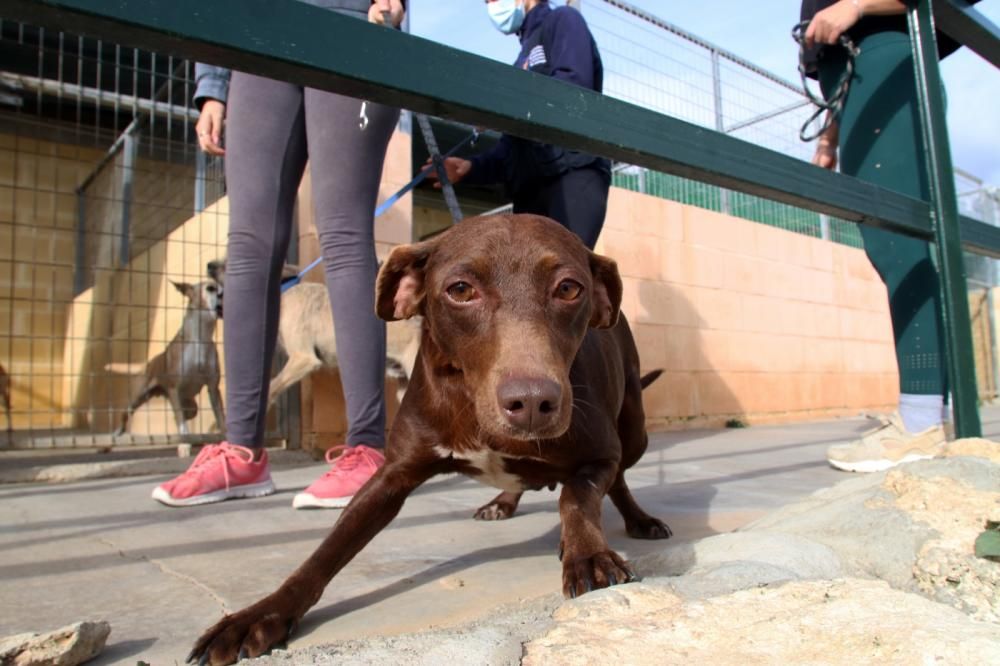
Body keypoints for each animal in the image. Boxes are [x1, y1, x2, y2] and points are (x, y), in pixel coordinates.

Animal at [189, 215, 672, 660]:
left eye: (569, 289)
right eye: (460, 289)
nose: (534, 402)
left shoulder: (599, 455)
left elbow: (576, 496)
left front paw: (588, 554)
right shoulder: (392, 476)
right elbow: (327, 551)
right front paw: (260, 614)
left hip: (635, 432)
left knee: (619, 479)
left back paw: (639, 520)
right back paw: (503, 501)